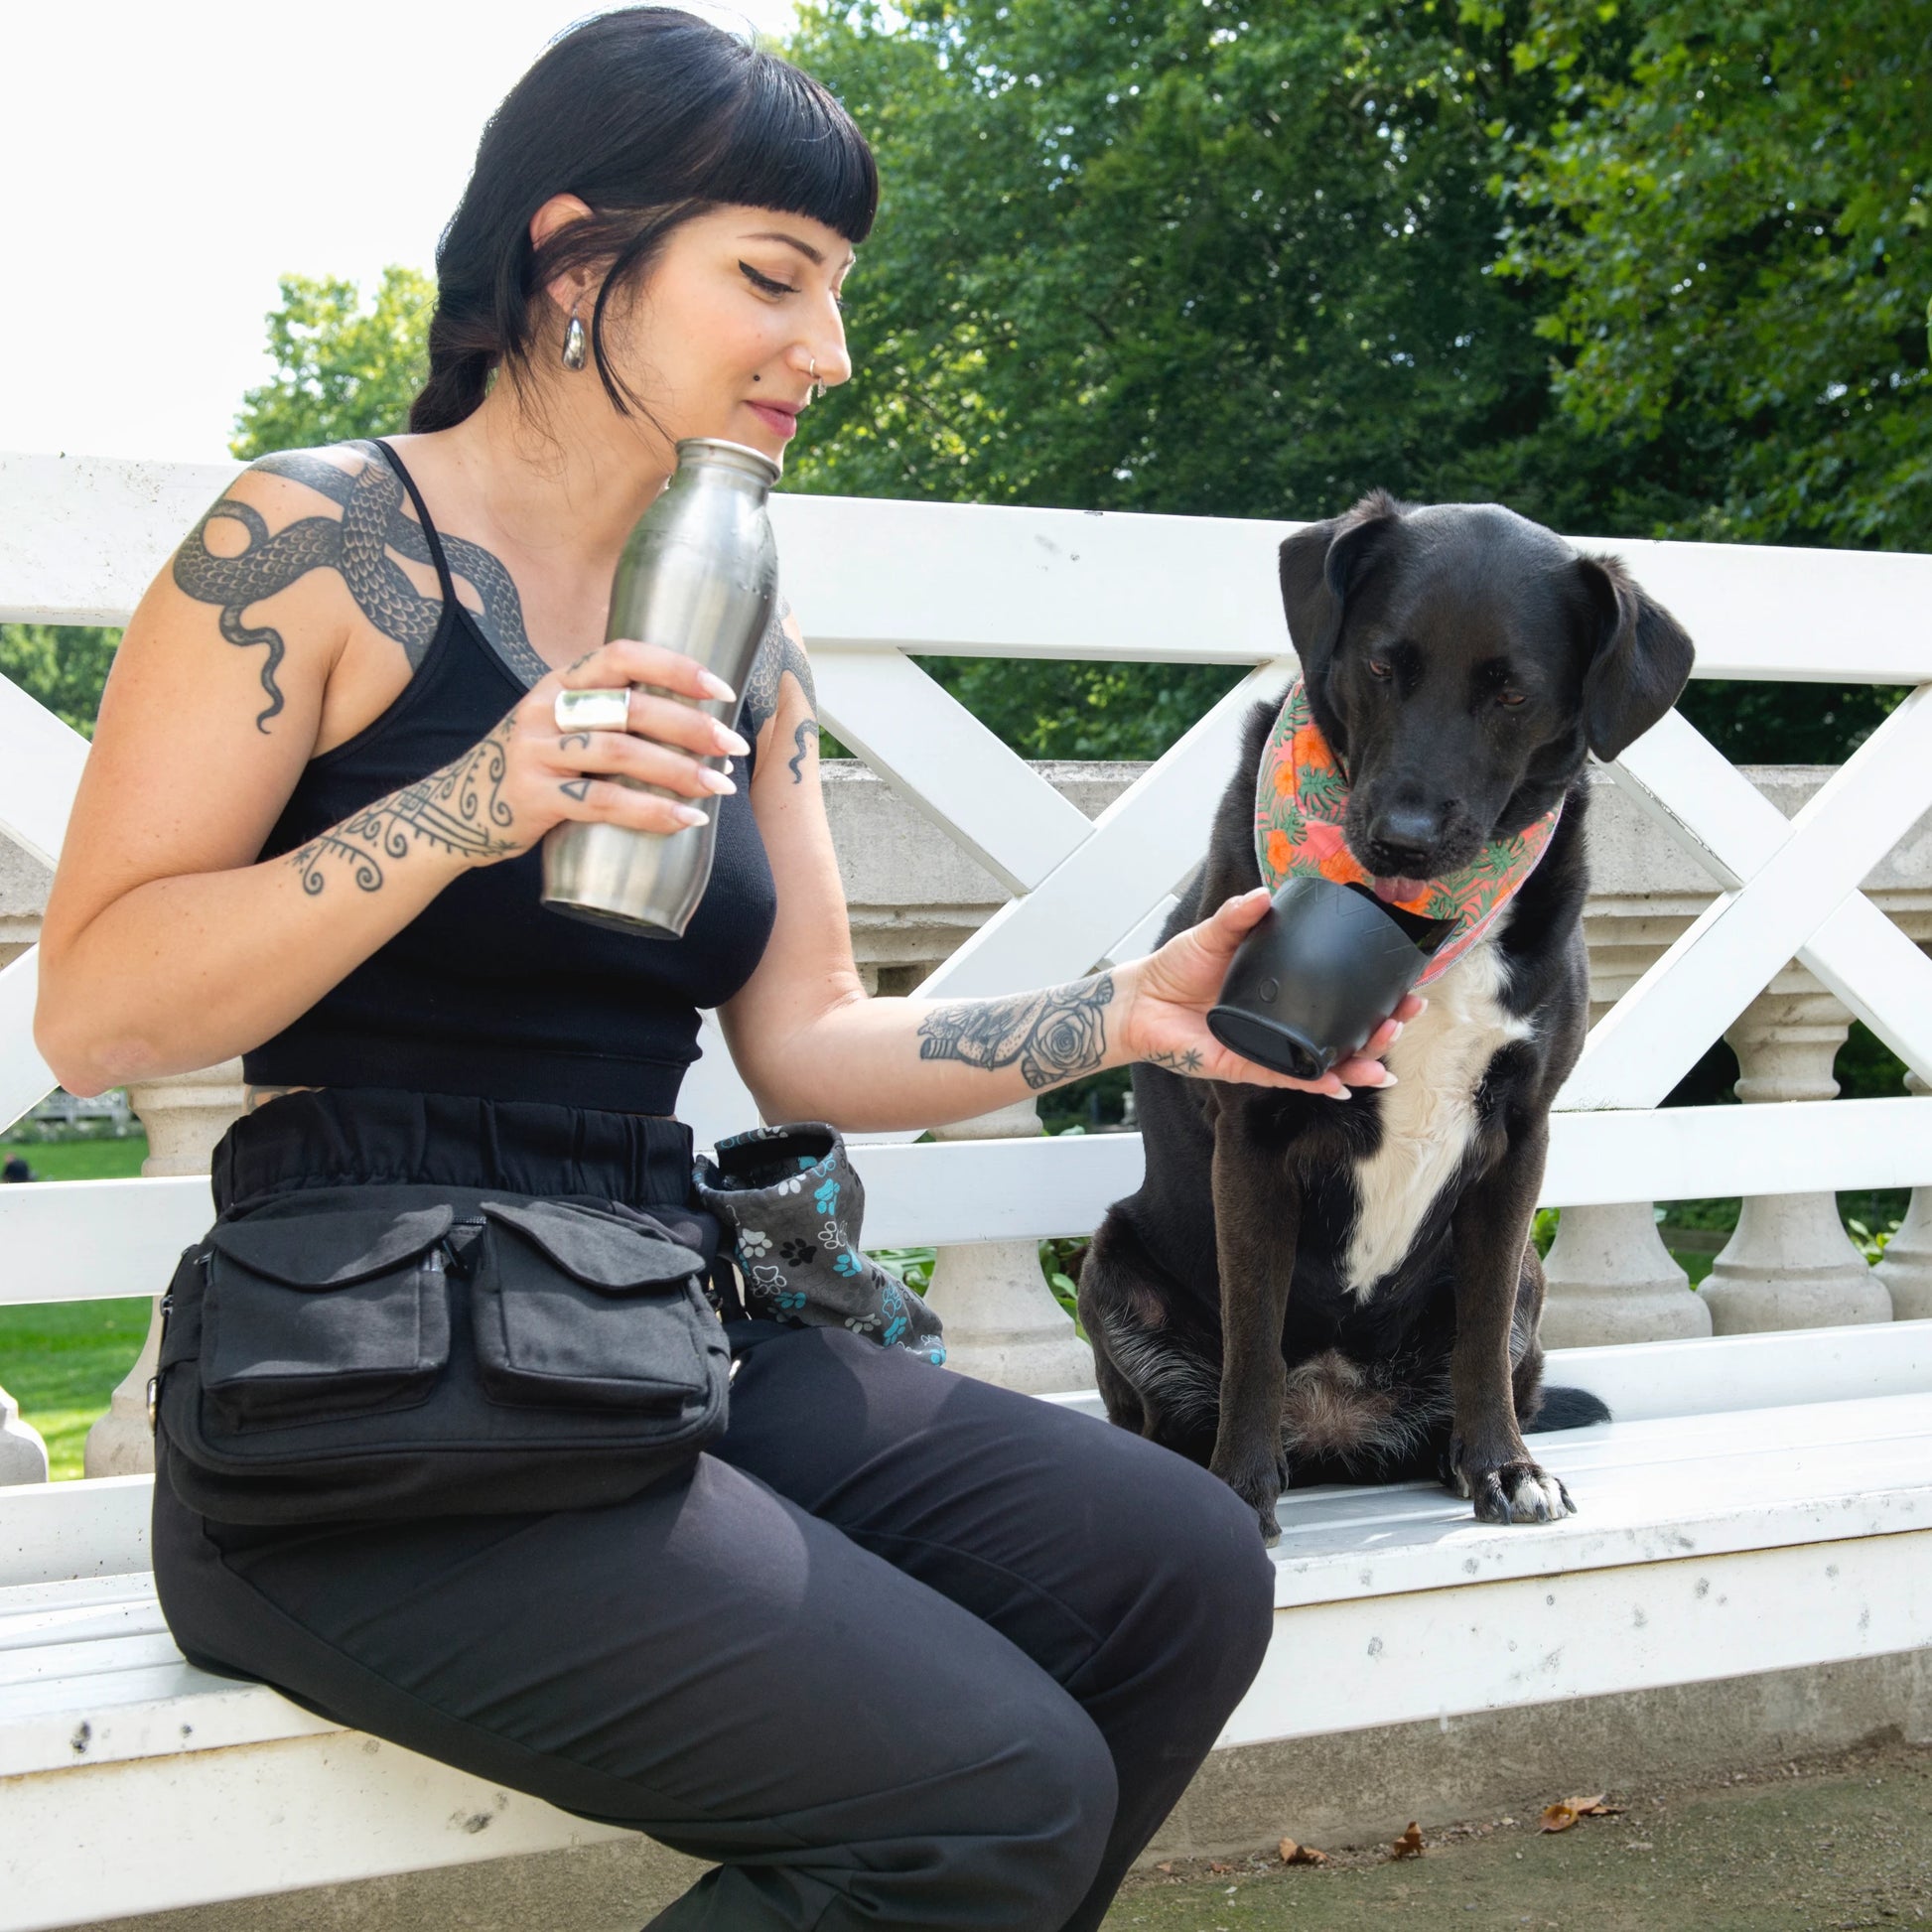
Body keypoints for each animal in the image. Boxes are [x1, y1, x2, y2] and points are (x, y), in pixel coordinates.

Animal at [1081, 494, 1700, 1538]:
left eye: (1512, 694)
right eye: (1380, 666)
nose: (1400, 841)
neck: (1420, 925)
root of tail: (1335, 1431)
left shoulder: (1520, 1137)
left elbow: (1482, 1333)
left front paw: (1505, 1467)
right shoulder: (1252, 1135)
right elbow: (1254, 1338)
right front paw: (1239, 1492)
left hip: (1530, 1275)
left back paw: (1456, 1457)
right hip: (1114, 1262)